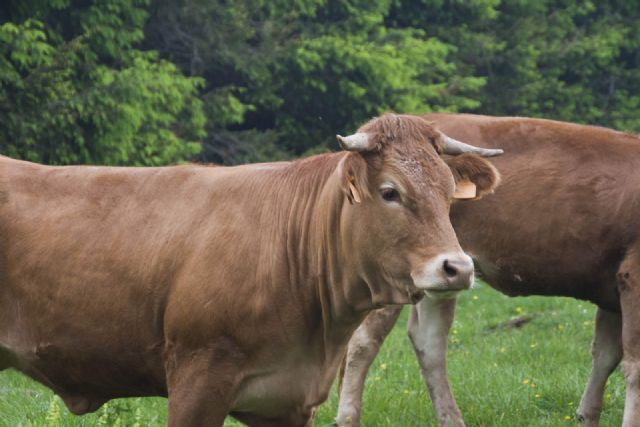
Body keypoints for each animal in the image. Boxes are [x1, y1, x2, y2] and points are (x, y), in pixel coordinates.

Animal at [336, 113, 640, 427]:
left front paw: (587, 415)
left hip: (442, 276)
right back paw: (347, 417)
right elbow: (634, 365)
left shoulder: (612, 293)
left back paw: (451, 419)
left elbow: (605, 356)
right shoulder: (633, 277)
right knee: (363, 341)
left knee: (429, 341)